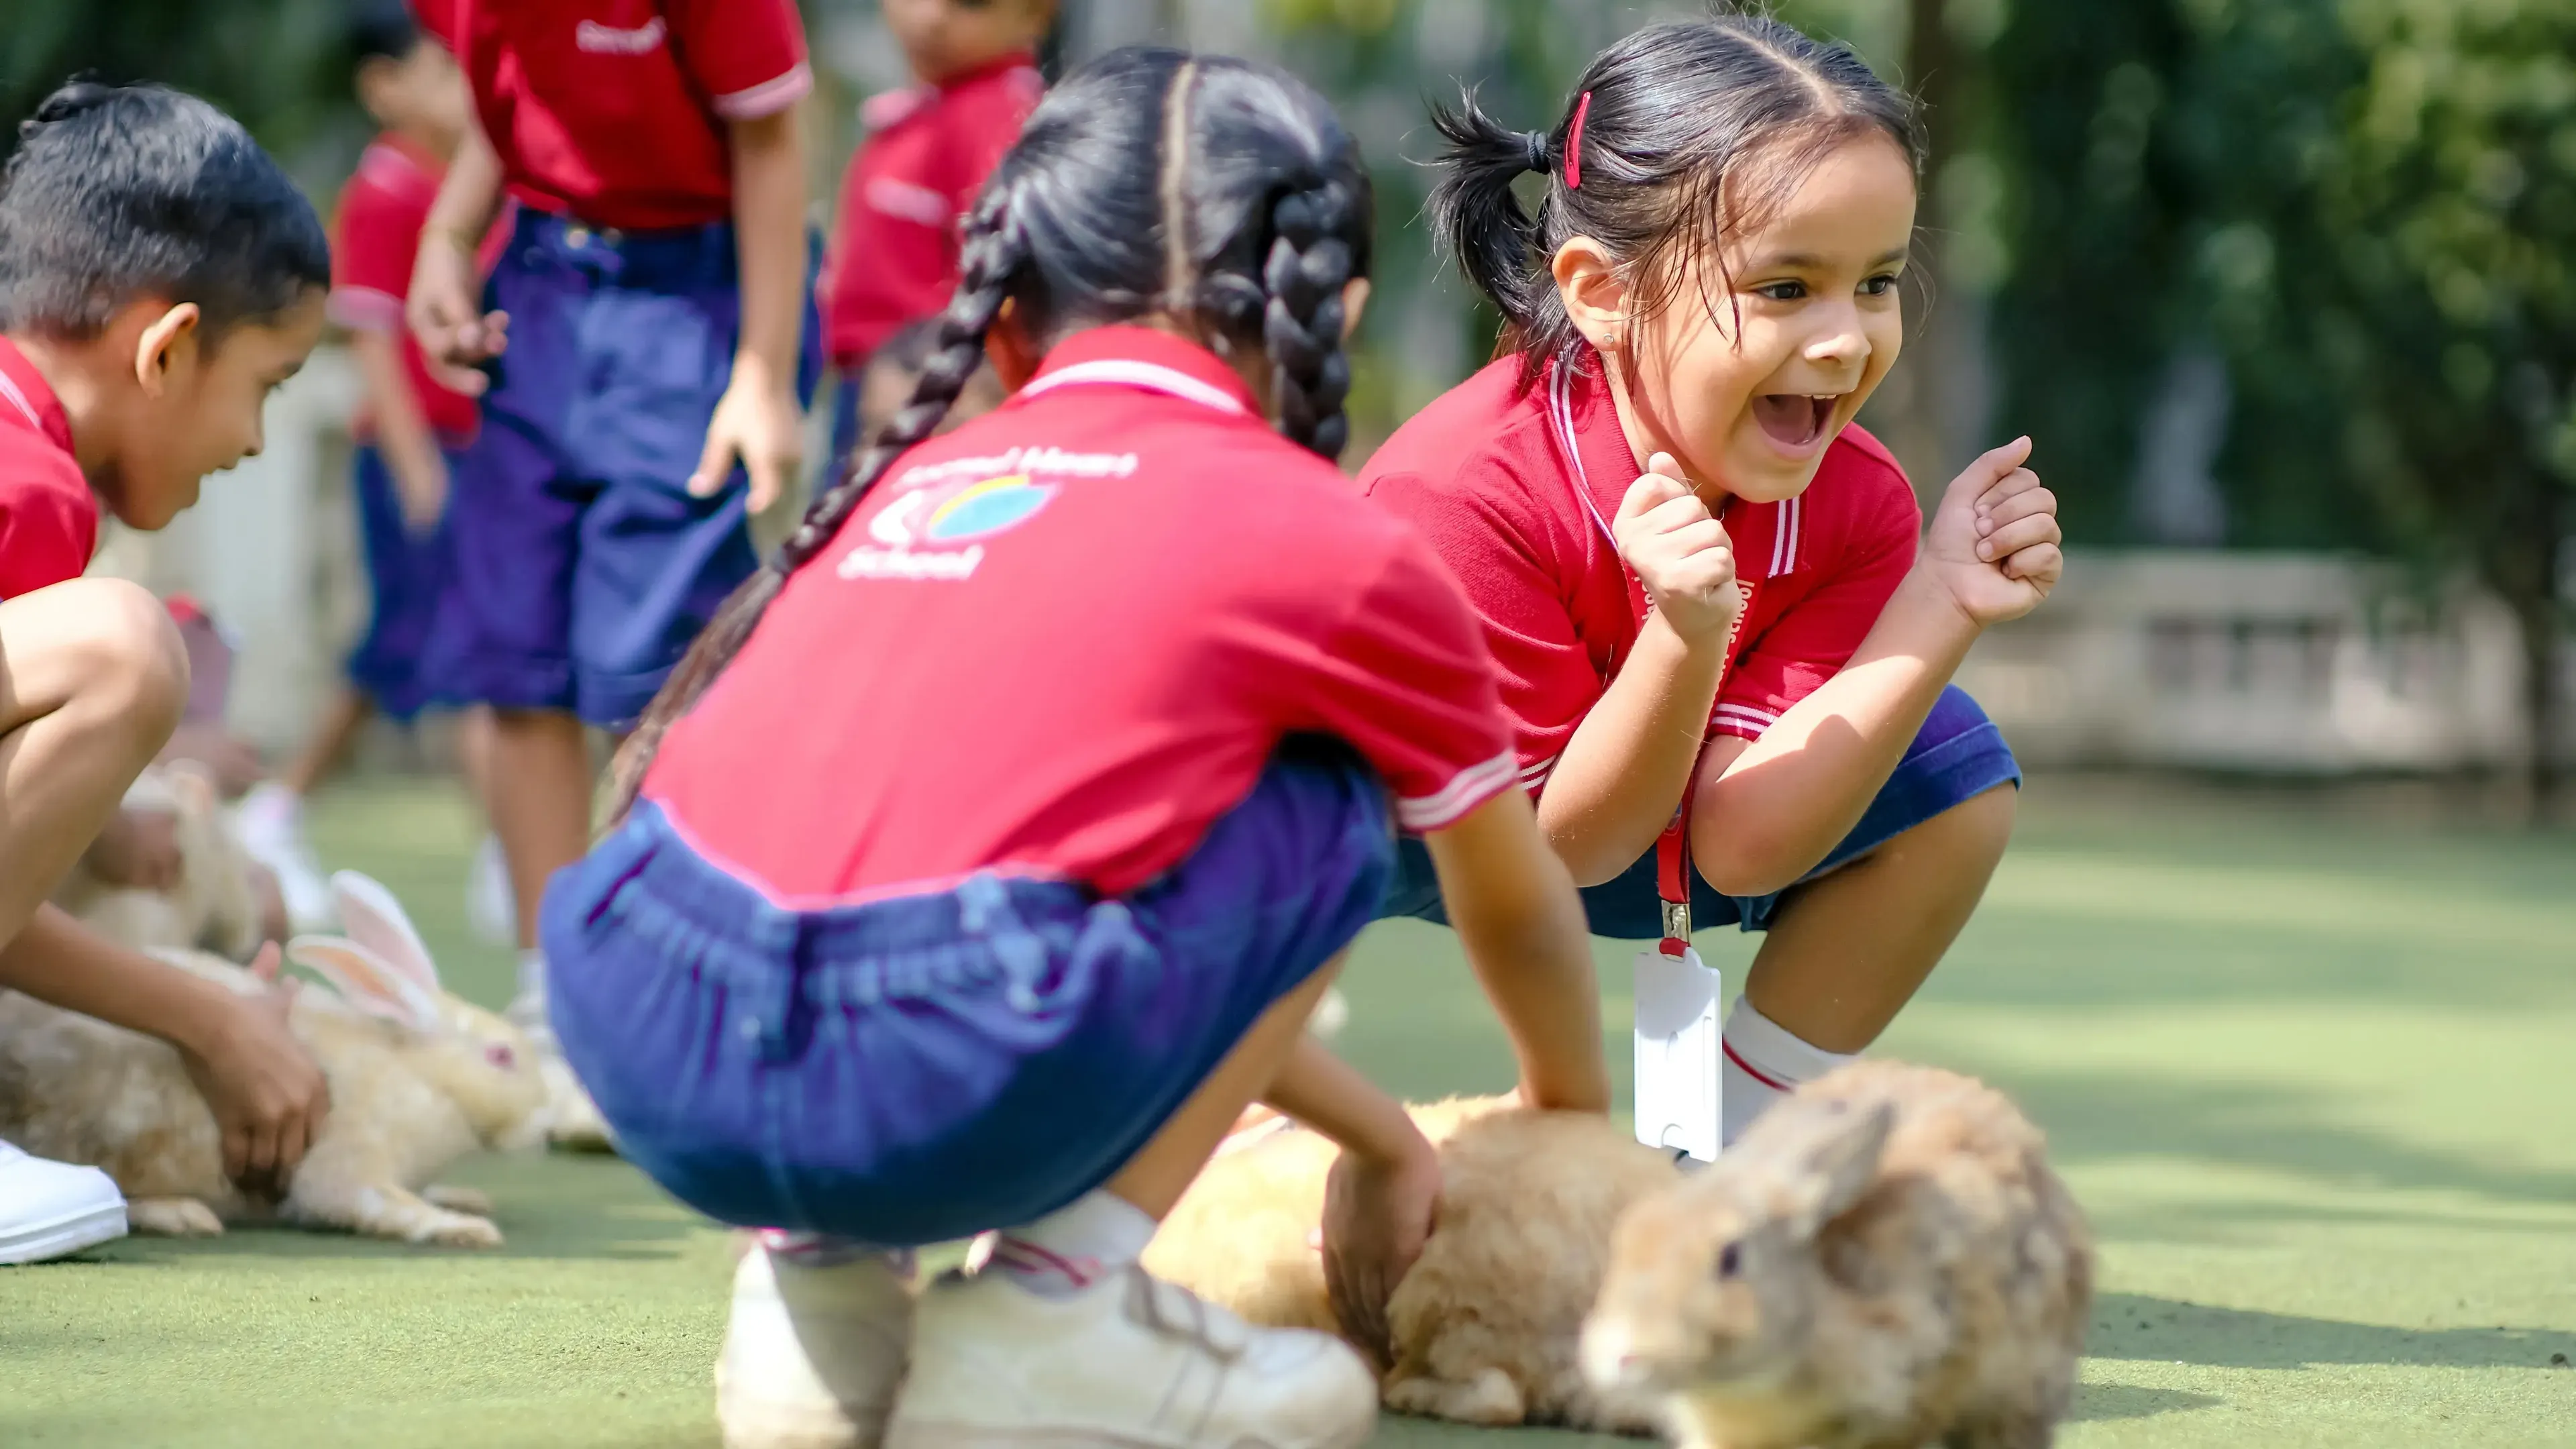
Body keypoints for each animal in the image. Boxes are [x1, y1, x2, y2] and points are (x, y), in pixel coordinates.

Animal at [0, 892, 553, 1242]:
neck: (424, 1079)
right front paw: (466, 1229)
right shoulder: (348, 1169)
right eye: (502, 1057)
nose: (543, 1128)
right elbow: (387, 1205)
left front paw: (465, 1199)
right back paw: (181, 1215)